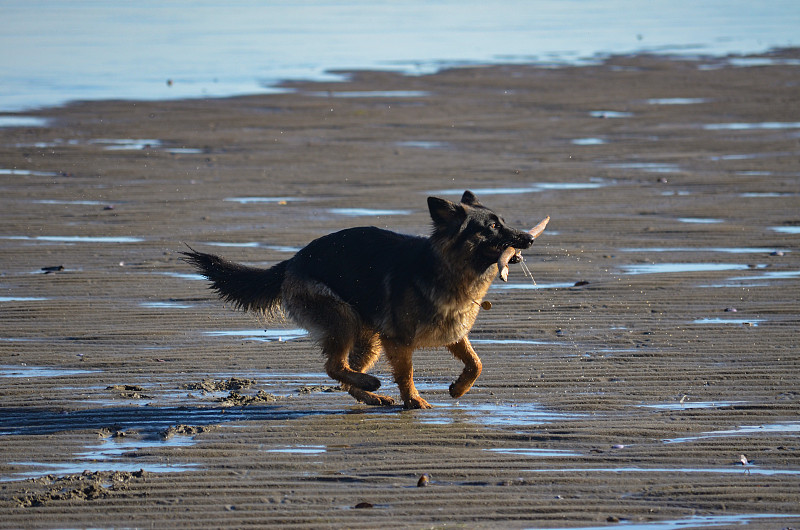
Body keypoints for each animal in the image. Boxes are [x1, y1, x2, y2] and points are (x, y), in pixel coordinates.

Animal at [183, 191, 536, 408]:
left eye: (503, 221)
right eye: (492, 226)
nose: (530, 238)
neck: (445, 267)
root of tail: (293, 260)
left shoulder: (453, 332)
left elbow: (476, 363)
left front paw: (459, 388)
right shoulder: (397, 341)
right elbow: (406, 374)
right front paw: (413, 401)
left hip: (368, 337)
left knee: (343, 375)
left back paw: (368, 394)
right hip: (345, 320)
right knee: (334, 367)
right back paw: (370, 384)